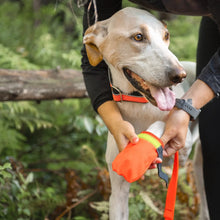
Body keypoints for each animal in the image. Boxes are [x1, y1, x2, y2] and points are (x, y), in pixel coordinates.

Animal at [82, 6, 208, 220]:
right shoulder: (118, 193)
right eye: (138, 37)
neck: (139, 105)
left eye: (166, 35)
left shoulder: (181, 150)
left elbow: (160, 125)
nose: (179, 75)